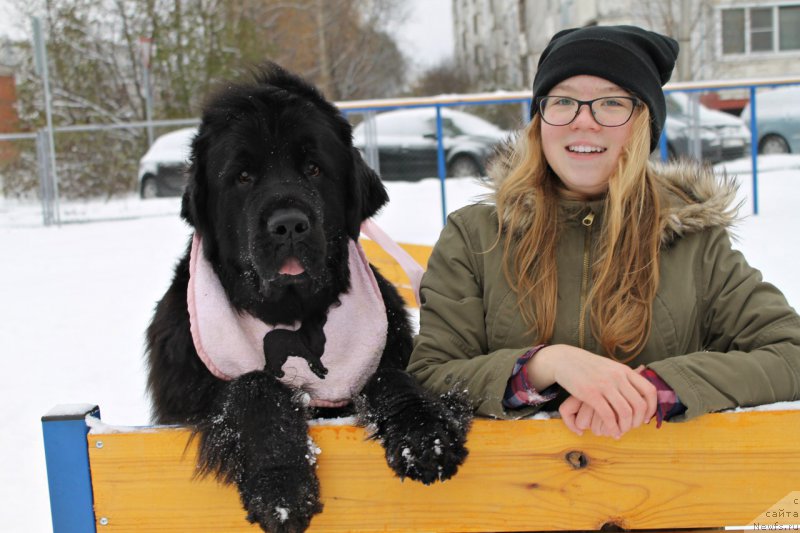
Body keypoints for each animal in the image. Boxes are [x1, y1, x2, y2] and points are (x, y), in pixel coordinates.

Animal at [145, 65, 468, 532]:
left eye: (313, 168)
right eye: (243, 176)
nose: (289, 224)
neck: (291, 312)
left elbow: (390, 376)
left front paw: (426, 437)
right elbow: (256, 387)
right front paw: (281, 487)